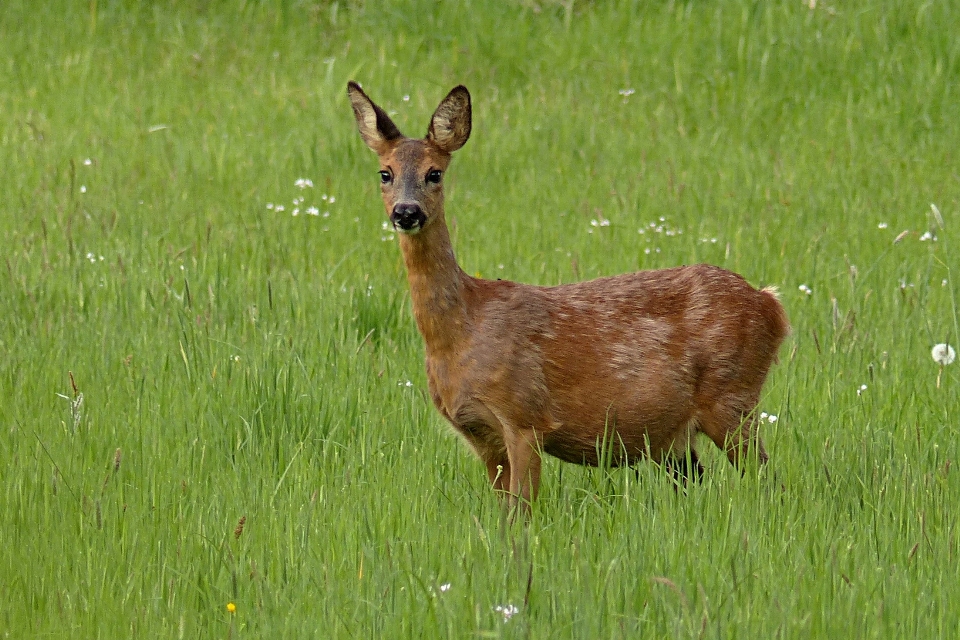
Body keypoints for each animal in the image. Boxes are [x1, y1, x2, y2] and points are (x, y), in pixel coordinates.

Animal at [344, 81, 788, 510]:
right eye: (385, 173)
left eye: (434, 173)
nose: (406, 212)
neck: (461, 331)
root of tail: (772, 305)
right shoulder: (480, 434)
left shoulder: (523, 416)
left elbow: (523, 512)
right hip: (674, 435)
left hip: (731, 395)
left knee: (769, 480)